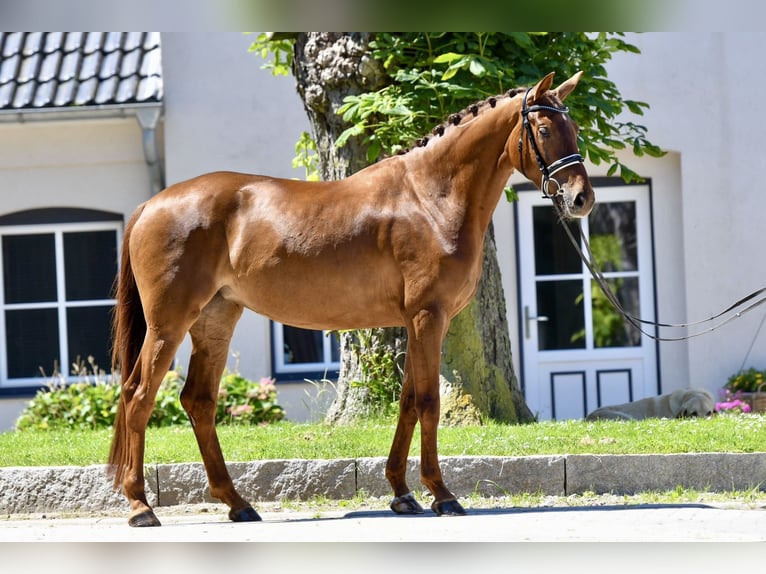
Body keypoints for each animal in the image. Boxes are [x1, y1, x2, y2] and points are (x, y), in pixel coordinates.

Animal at [108, 71, 596, 528]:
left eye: (575, 129)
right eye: (545, 130)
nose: (581, 198)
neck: (430, 198)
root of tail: (151, 204)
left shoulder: (413, 322)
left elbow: (408, 402)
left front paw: (403, 493)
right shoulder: (428, 317)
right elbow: (428, 403)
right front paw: (442, 495)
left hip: (215, 319)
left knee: (199, 402)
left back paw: (237, 503)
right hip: (168, 324)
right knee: (138, 396)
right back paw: (140, 505)